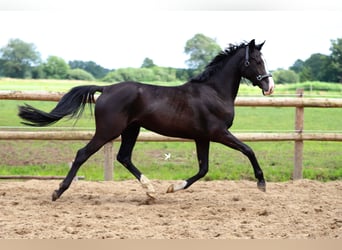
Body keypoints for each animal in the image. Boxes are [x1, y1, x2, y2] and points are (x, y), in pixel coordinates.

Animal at [18, 40, 276, 202]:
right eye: (255, 60)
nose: (269, 86)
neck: (213, 92)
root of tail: (106, 88)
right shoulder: (218, 133)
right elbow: (248, 149)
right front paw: (261, 184)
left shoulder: (202, 137)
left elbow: (203, 169)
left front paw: (172, 187)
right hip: (108, 131)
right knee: (83, 154)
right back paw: (58, 192)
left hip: (131, 130)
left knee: (124, 157)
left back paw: (150, 191)